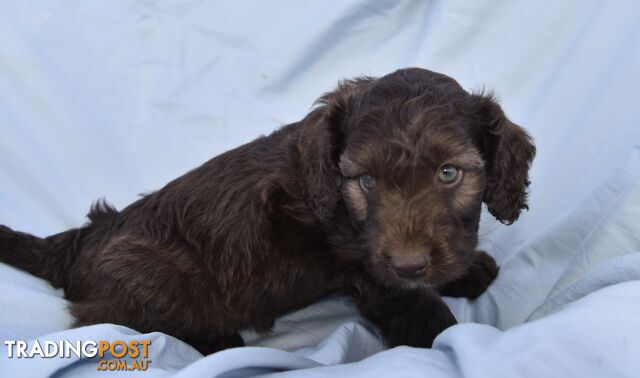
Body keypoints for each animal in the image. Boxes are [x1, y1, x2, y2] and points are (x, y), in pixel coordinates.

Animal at [0, 67, 536, 354]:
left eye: (449, 173)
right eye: (366, 181)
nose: (409, 263)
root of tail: (83, 239)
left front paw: (468, 272)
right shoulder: (372, 273)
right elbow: (422, 311)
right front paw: (453, 336)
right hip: (153, 275)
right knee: (113, 321)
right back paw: (216, 342)